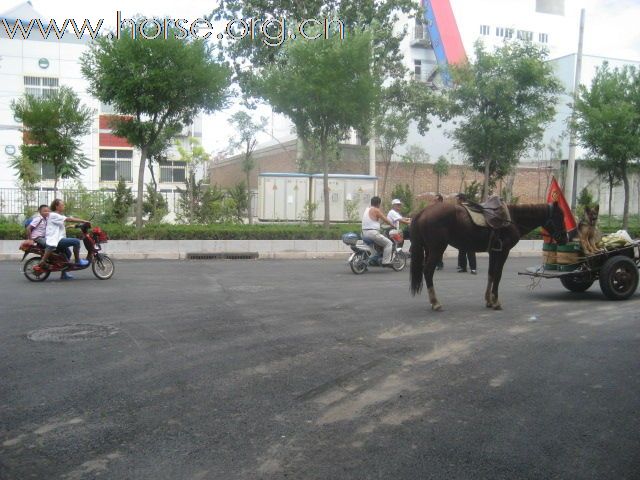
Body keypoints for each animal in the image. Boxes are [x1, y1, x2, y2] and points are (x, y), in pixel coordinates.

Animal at [410, 202, 564, 312]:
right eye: (560, 217)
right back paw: (435, 303)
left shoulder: (494, 252)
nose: (565, 237)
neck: (512, 219)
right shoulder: (503, 251)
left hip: (429, 250)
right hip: (437, 249)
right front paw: (496, 302)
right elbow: (498, 275)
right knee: (428, 271)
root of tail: (423, 212)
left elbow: (491, 274)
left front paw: (489, 301)